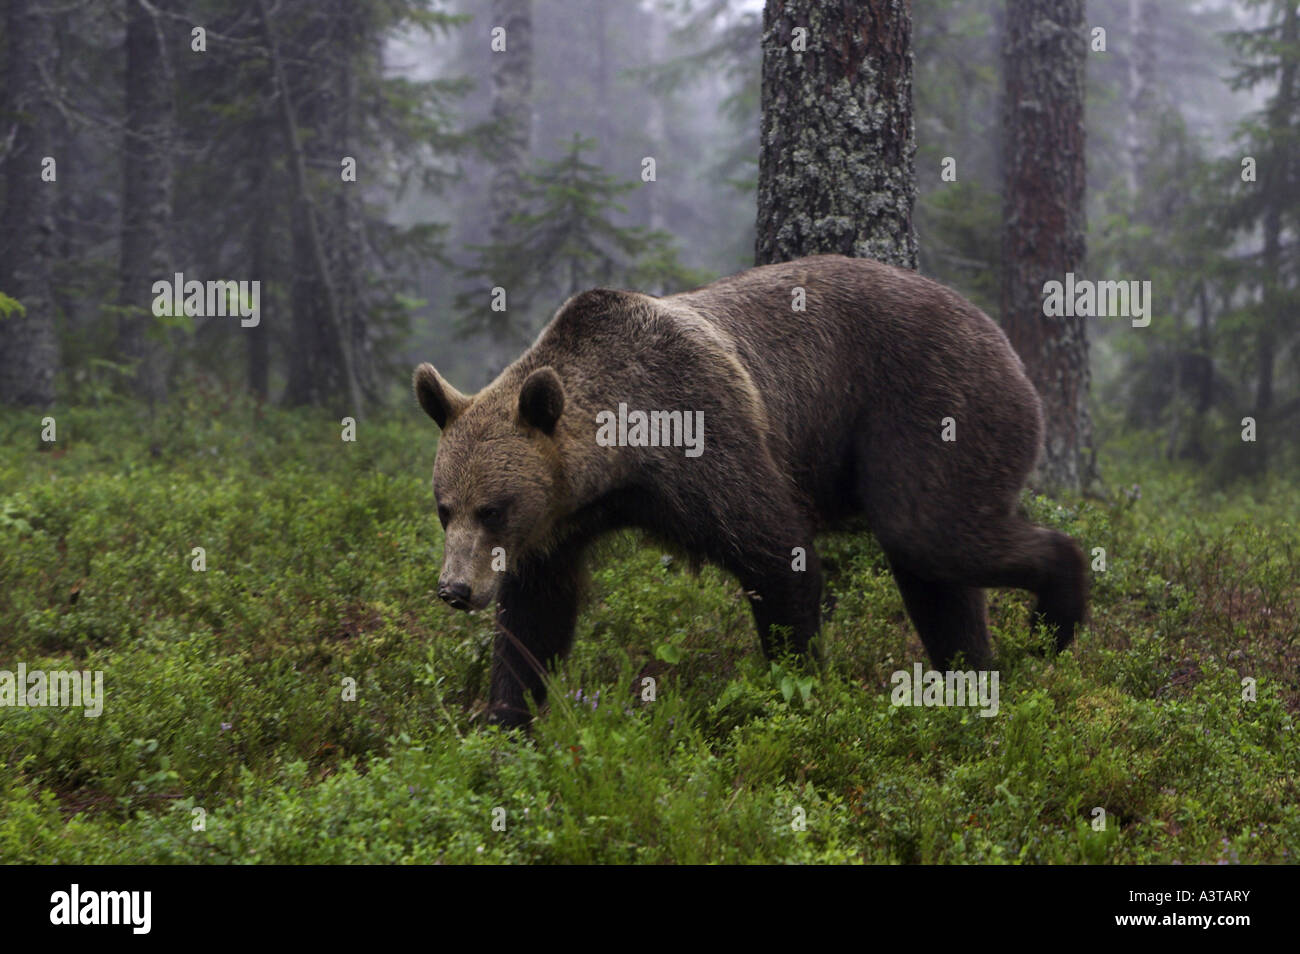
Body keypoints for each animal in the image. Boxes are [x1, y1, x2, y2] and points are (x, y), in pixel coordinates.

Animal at [414, 254, 1088, 727]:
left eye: (493, 508)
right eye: (445, 509)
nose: (455, 589)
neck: (621, 461)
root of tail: (1003, 340)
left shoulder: (703, 438)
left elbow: (777, 552)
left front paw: (801, 687)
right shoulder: (564, 523)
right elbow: (535, 616)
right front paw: (505, 722)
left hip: (934, 406)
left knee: (929, 532)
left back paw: (1053, 617)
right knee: (938, 580)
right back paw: (970, 676)